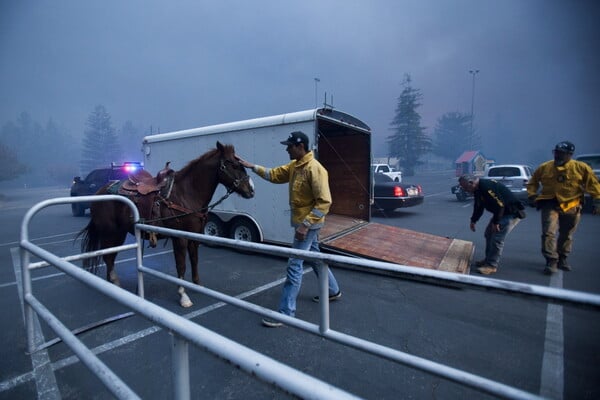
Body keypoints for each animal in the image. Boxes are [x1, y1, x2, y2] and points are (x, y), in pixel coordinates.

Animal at [76, 141, 254, 306]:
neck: (186, 194)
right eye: (233, 164)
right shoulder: (179, 238)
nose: (251, 190)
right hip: (110, 232)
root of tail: (99, 192)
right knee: (108, 256)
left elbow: (194, 260)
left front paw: (197, 285)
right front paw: (183, 296)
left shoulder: (194, 236)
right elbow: (181, 265)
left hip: (119, 232)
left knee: (110, 256)